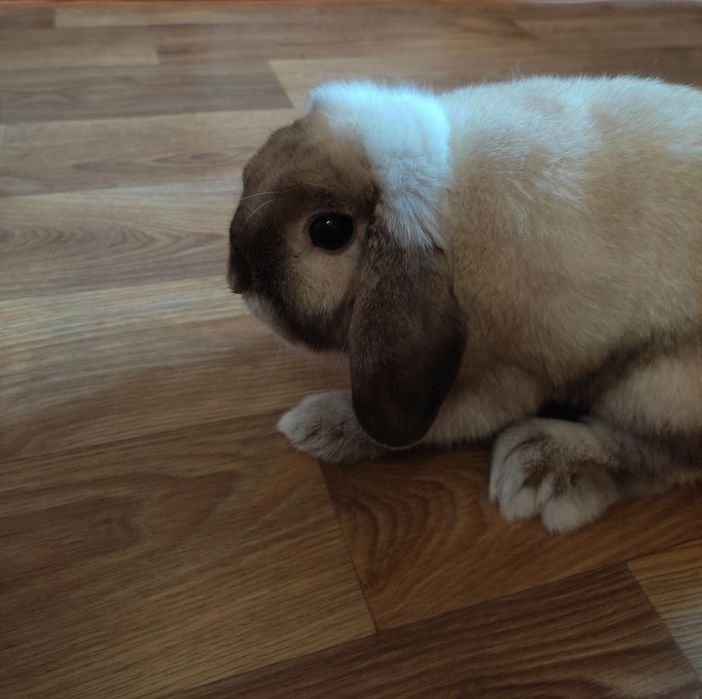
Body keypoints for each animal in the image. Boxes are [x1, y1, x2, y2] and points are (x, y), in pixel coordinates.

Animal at [228, 76, 702, 533]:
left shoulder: (498, 378)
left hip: (658, 388)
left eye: (328, 231)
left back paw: (539, 468)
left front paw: (318, 425)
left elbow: (426, 425)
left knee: (657, 456)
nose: (237, 279)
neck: (448, 208)